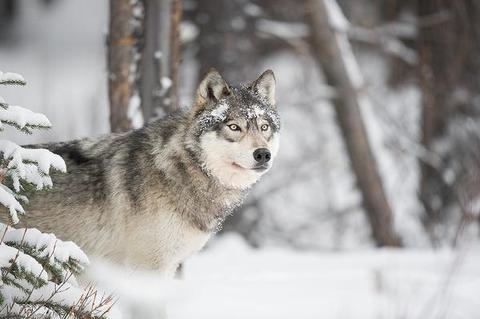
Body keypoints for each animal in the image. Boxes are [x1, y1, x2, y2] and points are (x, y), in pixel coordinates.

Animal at [4, 69, 282, 278]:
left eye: (264, 127)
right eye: (234, 127)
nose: (263, 154)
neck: (182, 167)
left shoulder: (169, 264)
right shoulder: (148, 267)